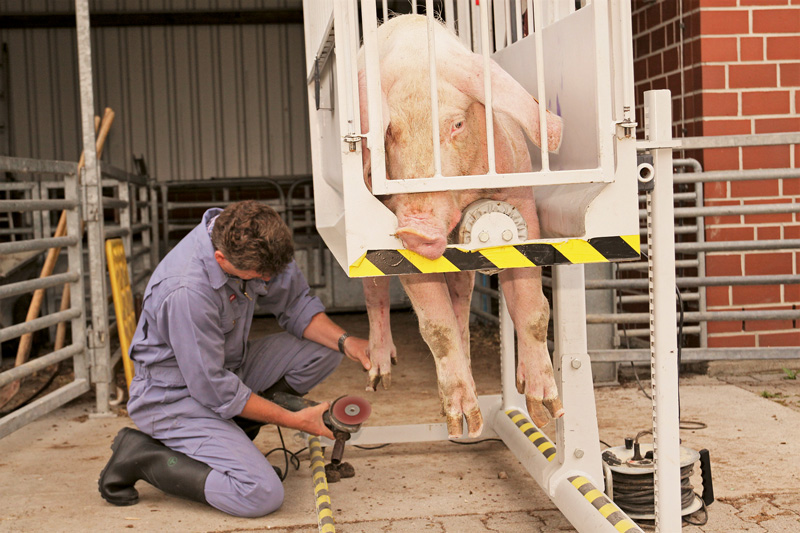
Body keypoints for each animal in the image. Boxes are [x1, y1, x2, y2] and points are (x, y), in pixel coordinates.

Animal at [356, 14, 564, 438]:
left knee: (463, 291)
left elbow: (533, 307)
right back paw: (380, 378)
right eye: (390, 131)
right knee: (375, 292)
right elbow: (435, 326)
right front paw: (464, 427)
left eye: (457, 123)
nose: (415, 228)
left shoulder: (519, 193)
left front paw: (547, 412)